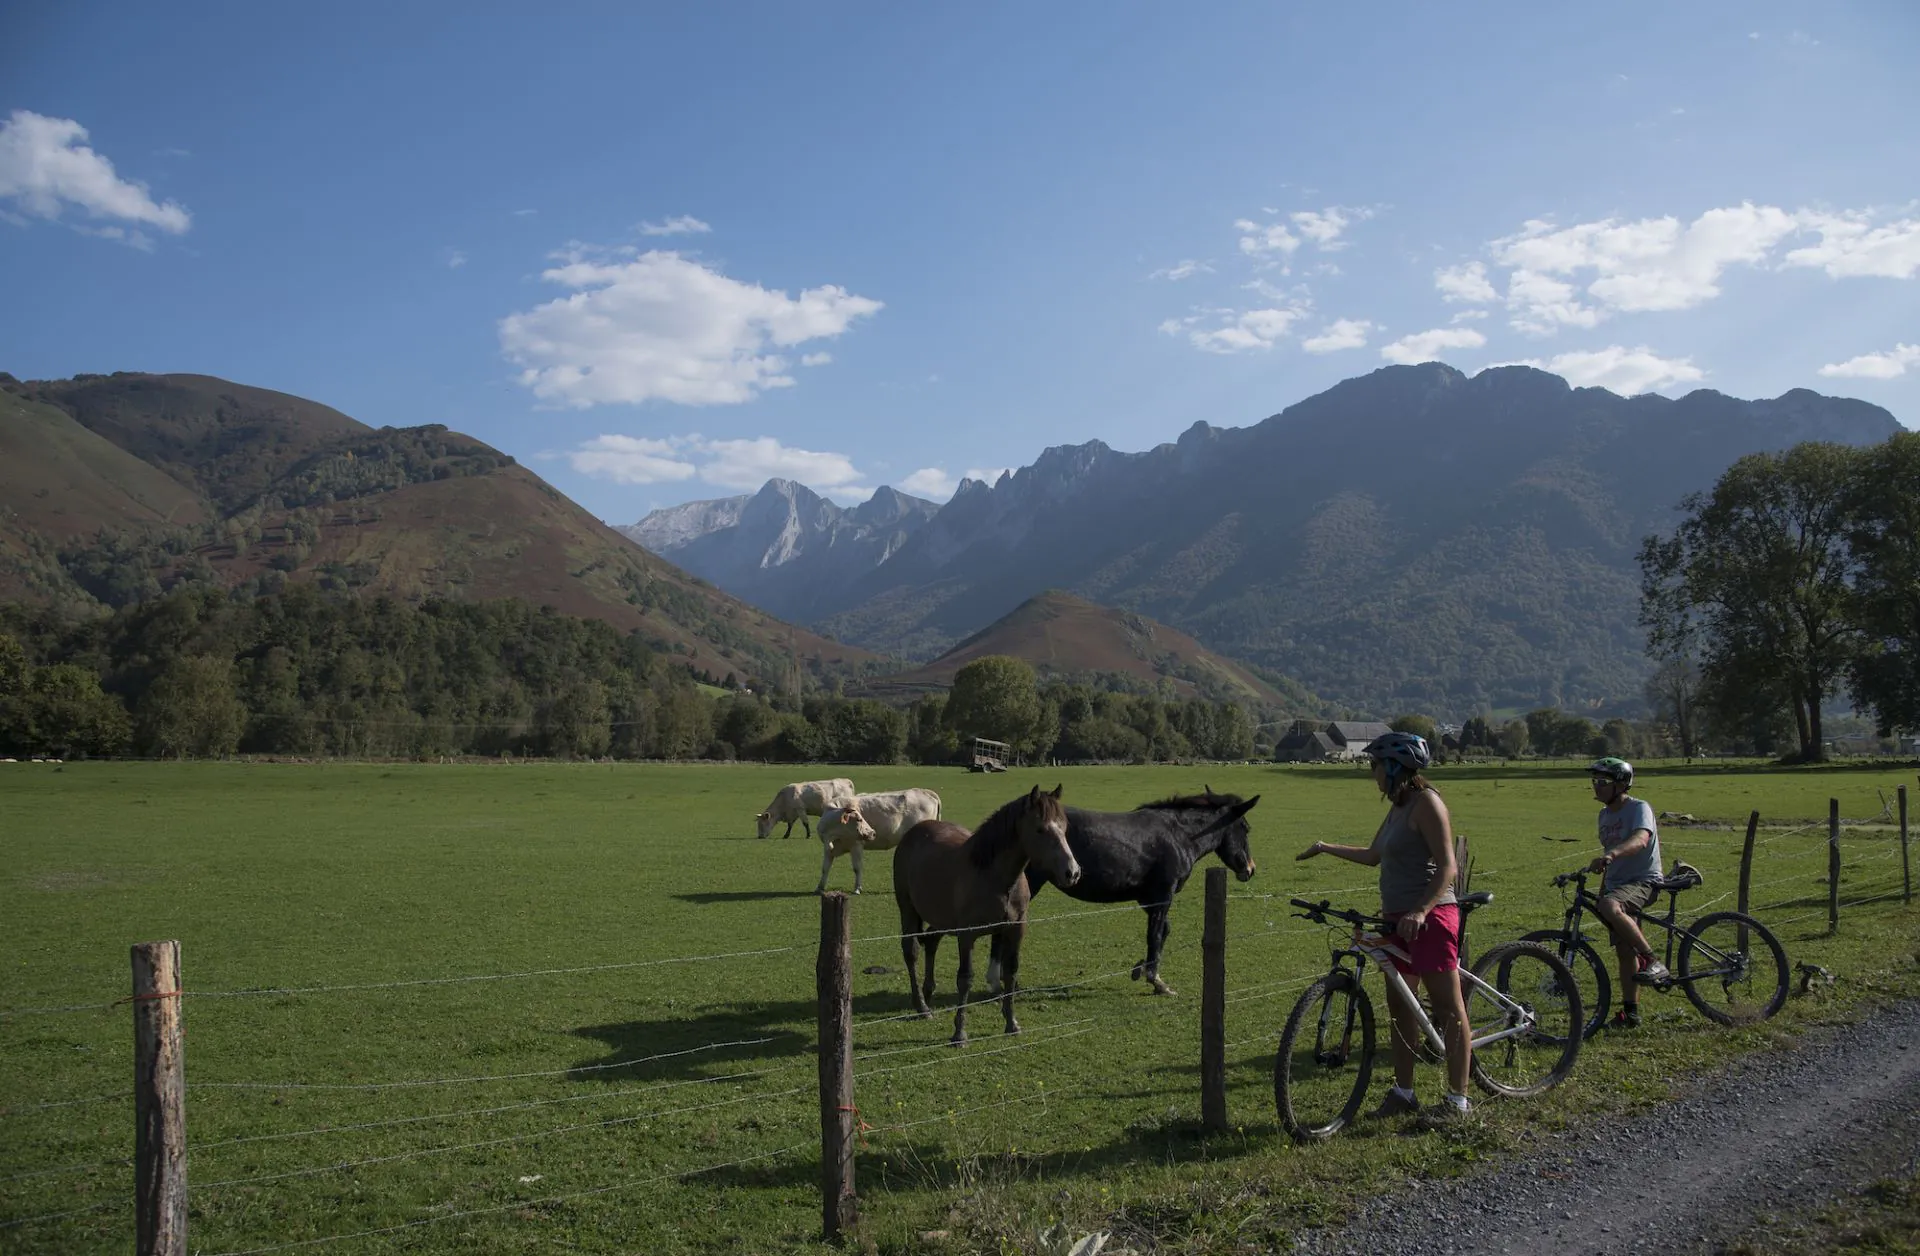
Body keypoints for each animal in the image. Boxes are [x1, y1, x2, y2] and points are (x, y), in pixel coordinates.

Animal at [887, 791, 1082, 1044]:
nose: (1072, 872)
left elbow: (1010, 972)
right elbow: (965, 978)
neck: (997, 878)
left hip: (941, 919)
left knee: (931, 941)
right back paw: (922, 1006)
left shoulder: (1015, 930)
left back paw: (928, 992)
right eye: (1040, 829)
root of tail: (915, 832)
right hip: (907, 908)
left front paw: (1012, 1024)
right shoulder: (966, 935)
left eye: (1064, 827)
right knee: (911, 951)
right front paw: (959, 1033)